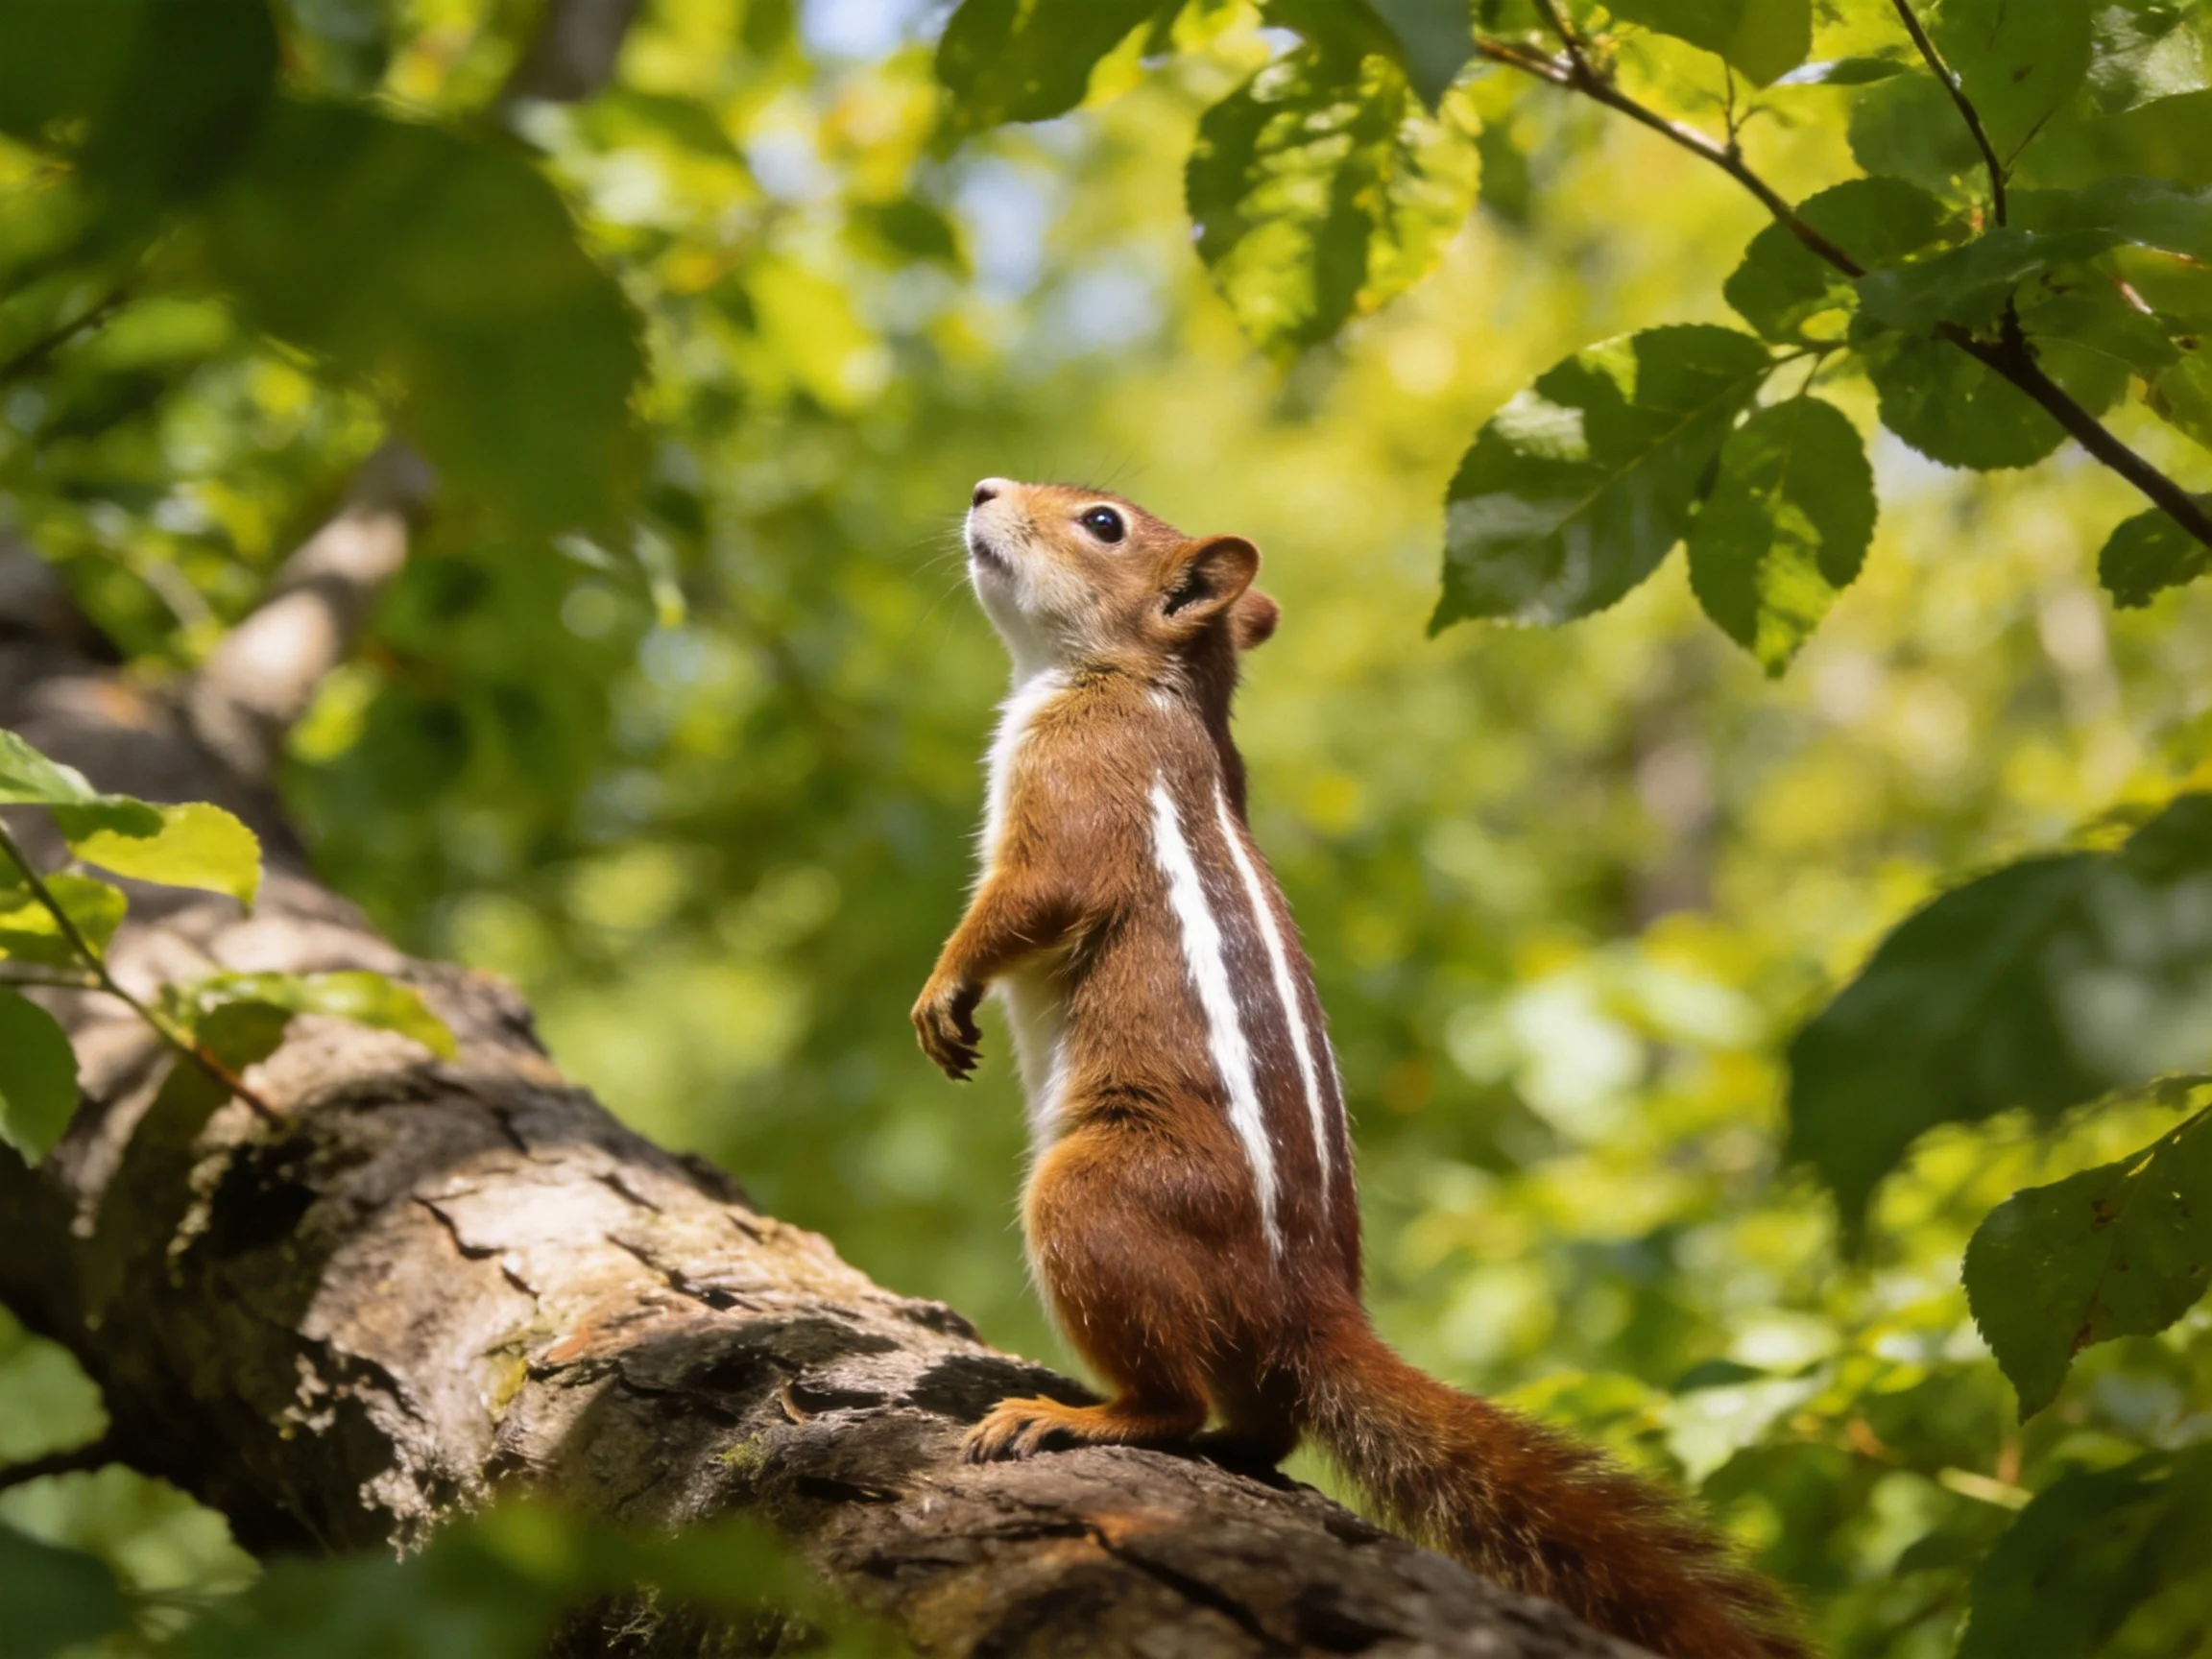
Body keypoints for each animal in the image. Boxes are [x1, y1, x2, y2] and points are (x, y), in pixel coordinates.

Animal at [913, 478, 1811, 1659]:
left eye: (1103, 522)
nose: (984, 489)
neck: (1137, 686)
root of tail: (1314, 1305)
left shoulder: (1079, 791)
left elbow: (1024, 901)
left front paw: (942, 992)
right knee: (1261, 1428)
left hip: (1092, 1191)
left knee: (1173, 1404)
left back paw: (1072, 1416)